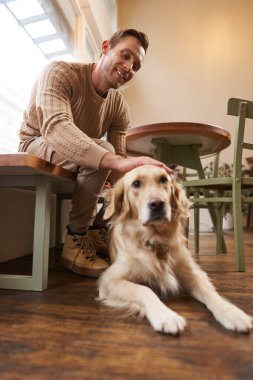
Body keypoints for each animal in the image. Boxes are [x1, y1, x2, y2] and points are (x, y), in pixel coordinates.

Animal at [98, 165, 252, 334]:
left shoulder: (194, 274)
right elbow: (144, 290)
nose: (158, 204)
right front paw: (166, 316)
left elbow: (211, 294)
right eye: (136, 183)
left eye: (163, 179)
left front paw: (232, 313)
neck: (155, 239)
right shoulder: (110, 280)